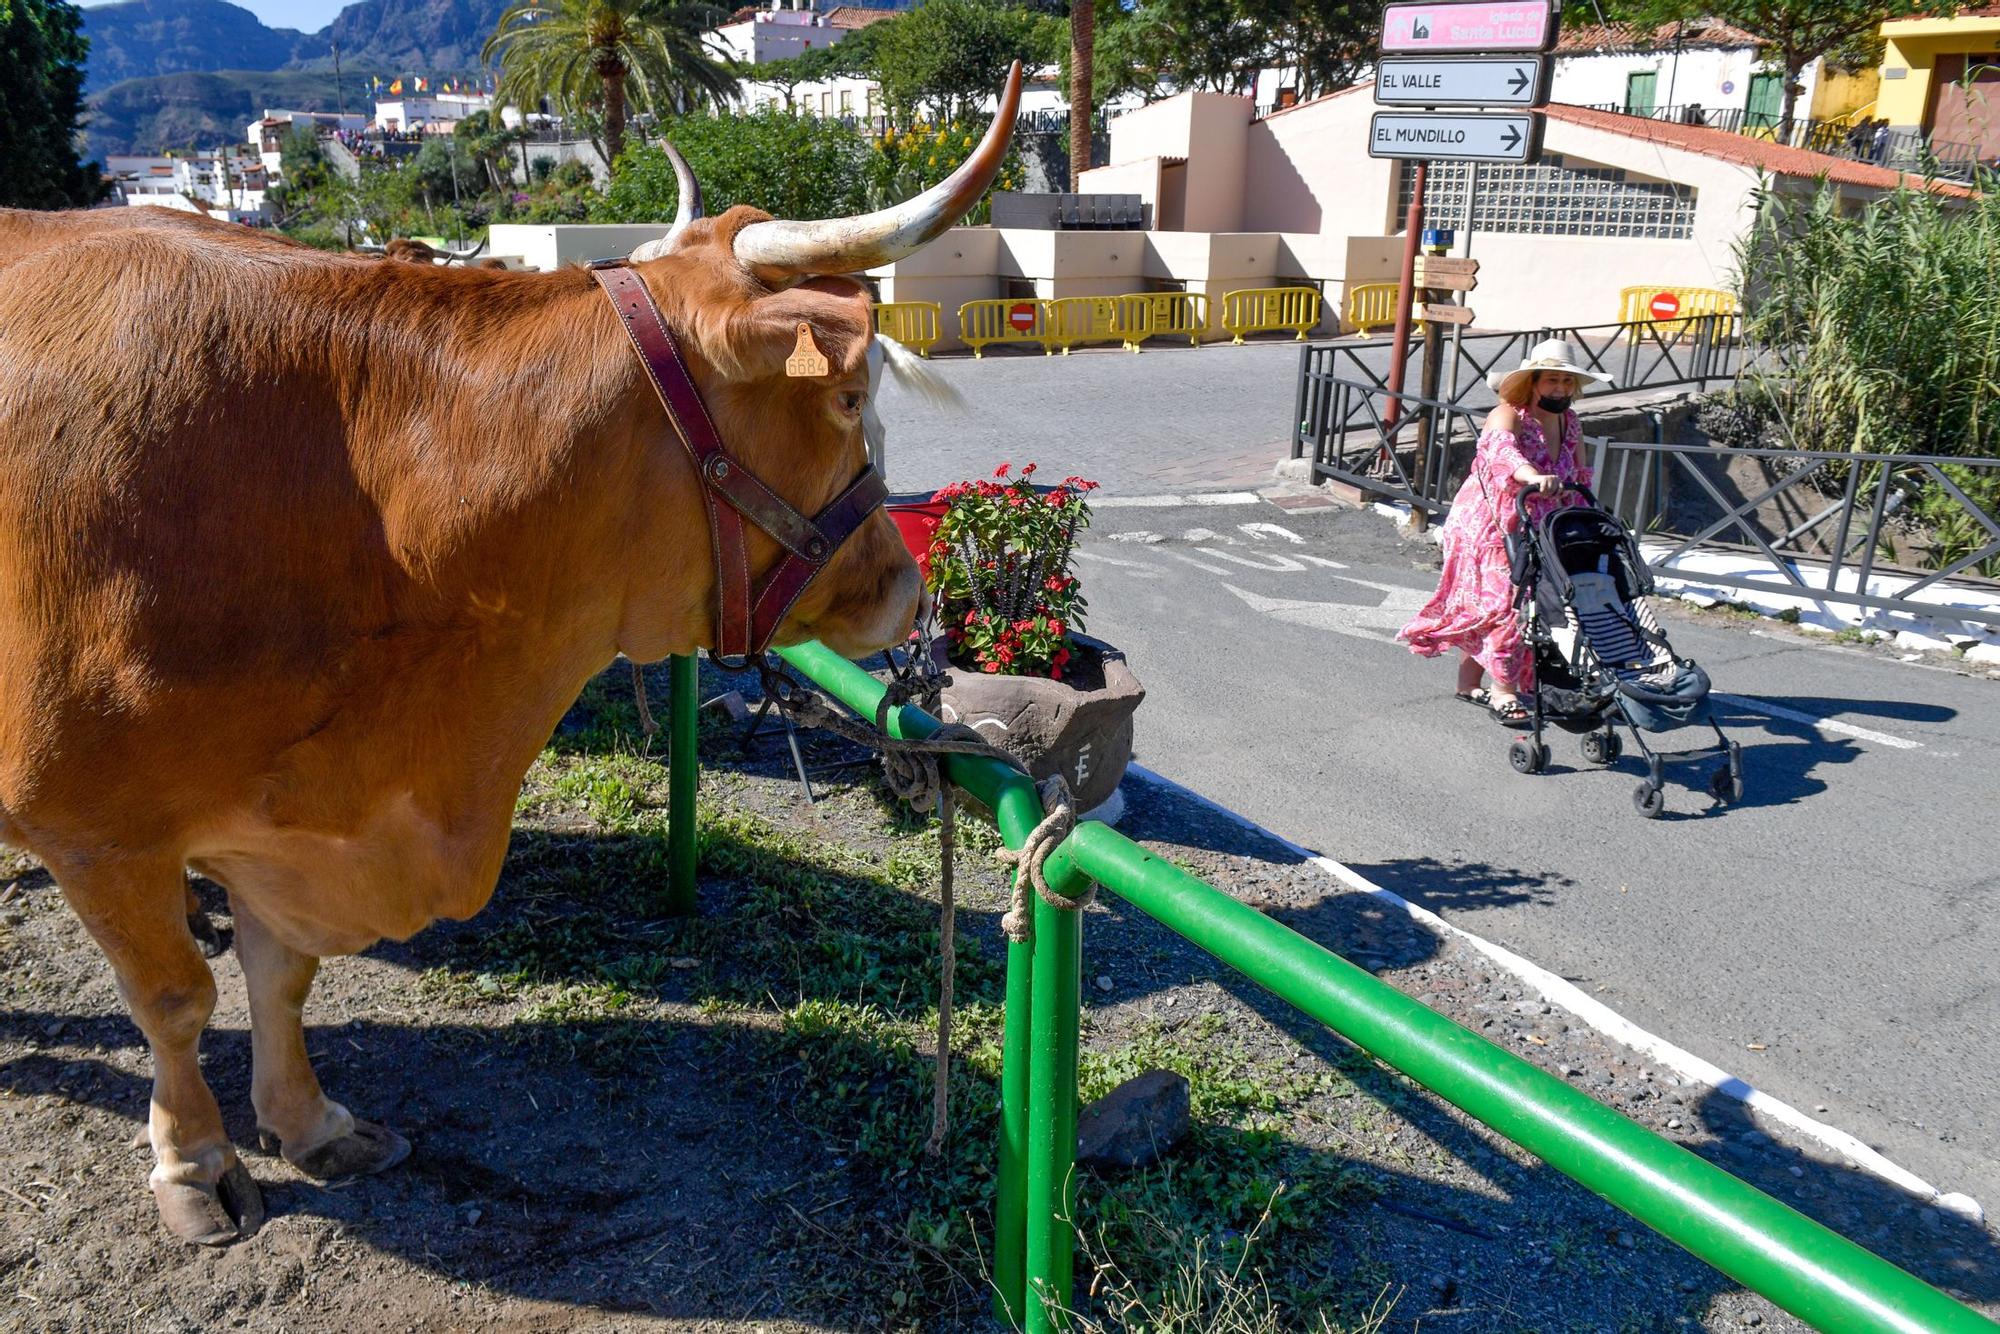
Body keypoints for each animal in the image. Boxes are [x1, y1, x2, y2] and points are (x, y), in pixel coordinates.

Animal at [0, 65, 1024, 1256]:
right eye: (847, 400)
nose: (910, 588)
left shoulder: (290, 819)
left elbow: (282, 973)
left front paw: (309, 1122)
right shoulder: (95, 826)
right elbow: (173, 998)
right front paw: (197, 1162)